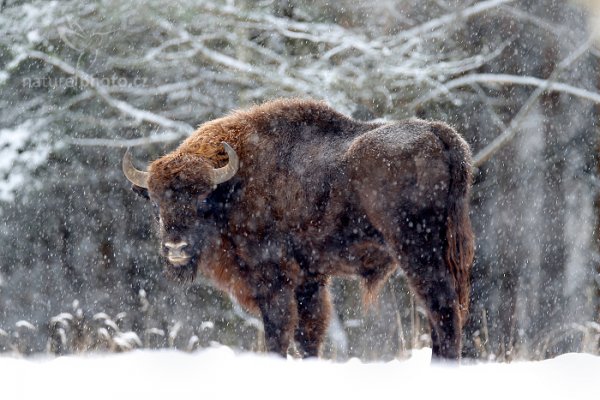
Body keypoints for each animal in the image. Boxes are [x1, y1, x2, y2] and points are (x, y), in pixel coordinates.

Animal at [123, 98, 474, 360]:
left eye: (202, 199)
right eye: (156, 203)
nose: (176, 248)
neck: (234, 185)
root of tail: (438, 133)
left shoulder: (272, 280)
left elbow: (278, 333)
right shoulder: (310, 278)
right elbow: (309, 334)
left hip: (417, 252)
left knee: (442, 308)